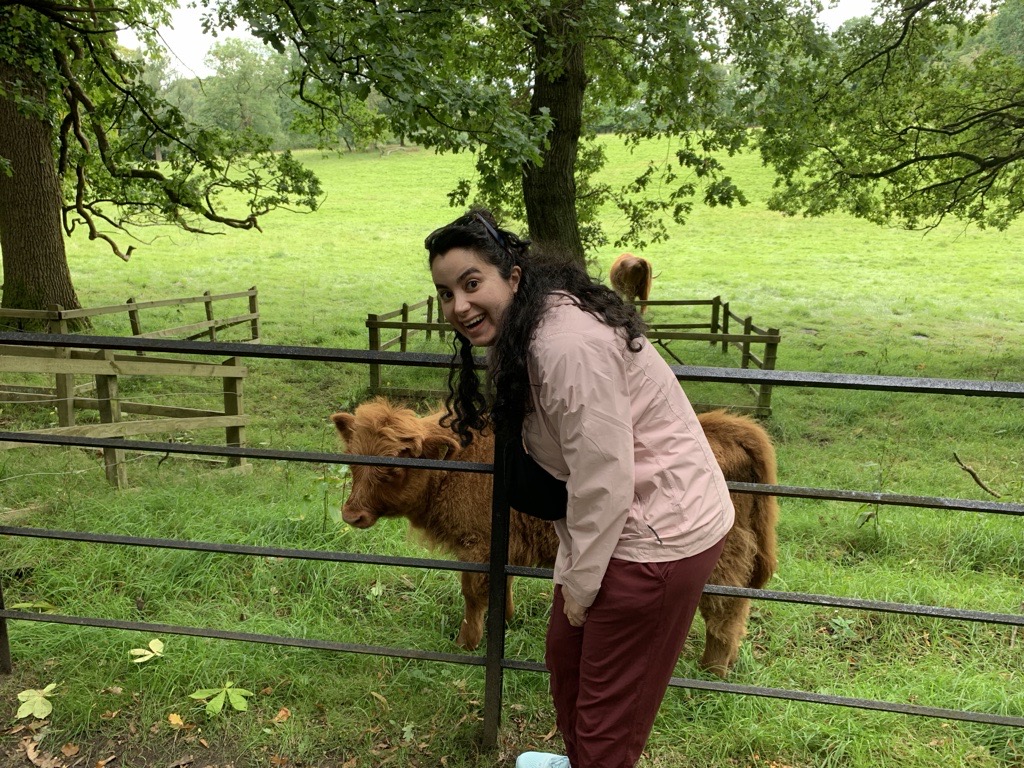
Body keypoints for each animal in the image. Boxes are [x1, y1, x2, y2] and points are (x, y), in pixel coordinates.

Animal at [331, 398, 778, 677]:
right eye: (353, 459)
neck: (458, 466)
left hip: (719, 563)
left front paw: (466, 642)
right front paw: (506, 620)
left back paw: (710, 672)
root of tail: (722, 428)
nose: (352, 514)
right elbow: (503, 585)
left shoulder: (477, 545)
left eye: (394, 465)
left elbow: (474, 595)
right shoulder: (503, 545)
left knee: (724, 614)